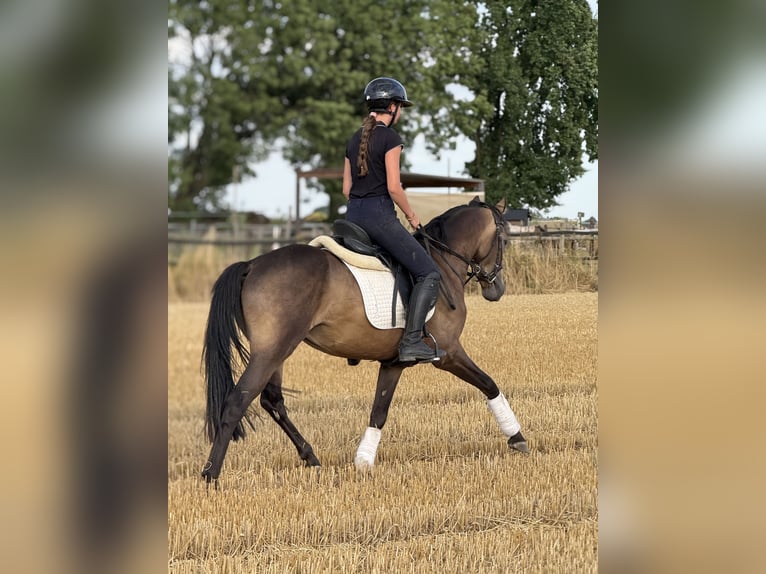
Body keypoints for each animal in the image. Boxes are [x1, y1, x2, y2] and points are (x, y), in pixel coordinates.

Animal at [201, 196, 528, 482]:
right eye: (505, 240)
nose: (497, 289)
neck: (443, 261)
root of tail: (252, 264)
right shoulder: (449, 353)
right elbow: (488, 384)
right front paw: (517, 437)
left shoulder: (393, 363)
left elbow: (378, 412)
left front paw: (363, 461)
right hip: (272, 351)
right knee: (238, 401)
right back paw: (211, 474)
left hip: (276, 352)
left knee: (272, 400)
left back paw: (310, 457)